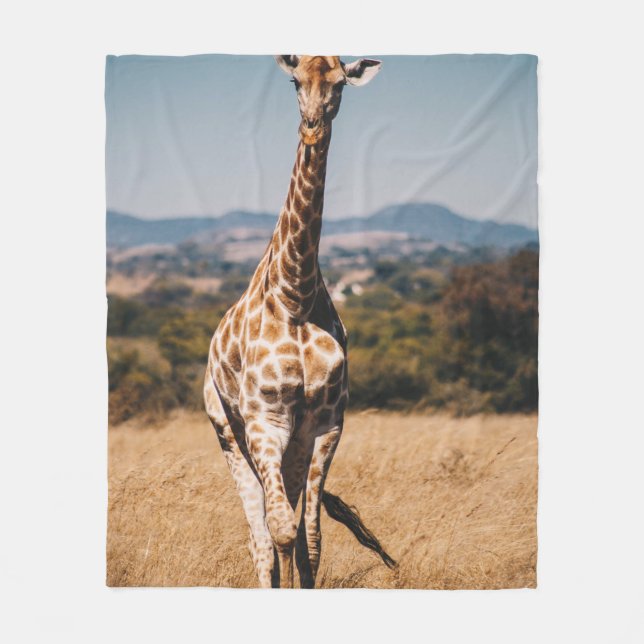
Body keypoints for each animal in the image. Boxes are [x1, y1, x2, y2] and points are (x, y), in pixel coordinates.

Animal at [204, 55, 393, 588]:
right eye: (293, 81)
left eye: (340, 83)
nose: (312, 126)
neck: (297, 297)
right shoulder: (264, 421)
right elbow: (281, 531)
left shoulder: (326, 424)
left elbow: (310, 540)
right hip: (229, 432)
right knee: (261, 538)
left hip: (290, 445)